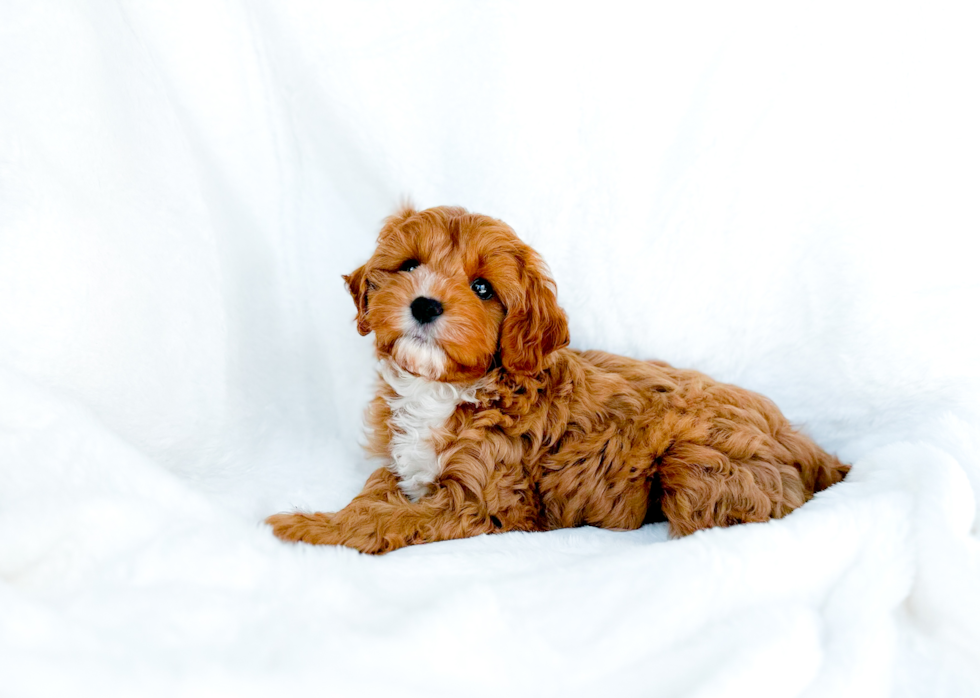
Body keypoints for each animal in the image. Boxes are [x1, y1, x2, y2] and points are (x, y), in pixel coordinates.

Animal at [264, 204, 848, 552]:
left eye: (482, 289)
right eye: (410, 266)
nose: (425, 304)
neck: (448, 388)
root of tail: (809, 445)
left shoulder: (481, 500)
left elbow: (385, 520)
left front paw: (304, 526)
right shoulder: (404, 466)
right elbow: (376, 491)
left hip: (695, 463)